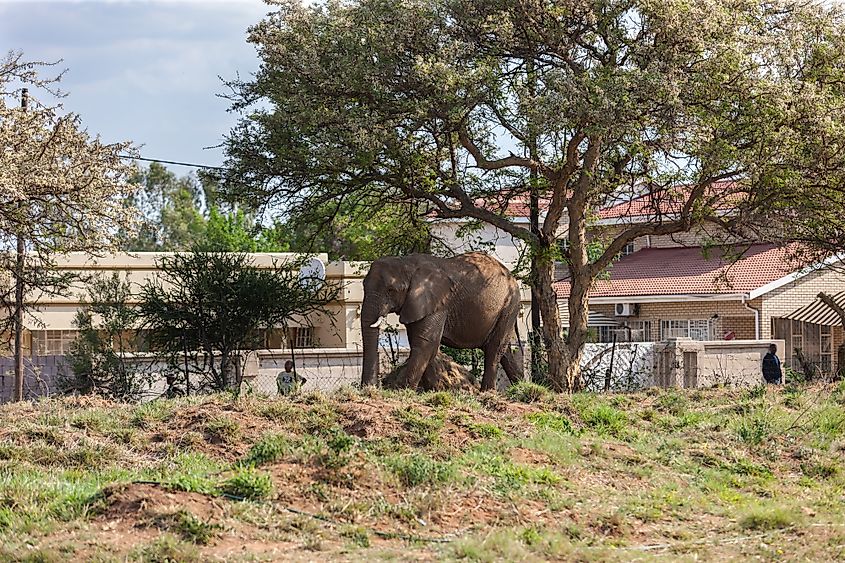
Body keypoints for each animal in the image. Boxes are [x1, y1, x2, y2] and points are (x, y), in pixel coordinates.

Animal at [362, 252, 524, 392]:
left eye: (391, 290)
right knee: (504, 351)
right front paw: (432, 390)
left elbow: (426, 342)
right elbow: (419, 342)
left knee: (494, 349)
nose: (369, 388)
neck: (407, 262)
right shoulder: (416, 304)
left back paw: (487, 392)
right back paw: (520, 387)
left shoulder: (437, 303)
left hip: (509, 306)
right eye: (363, 285)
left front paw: (402, 390)